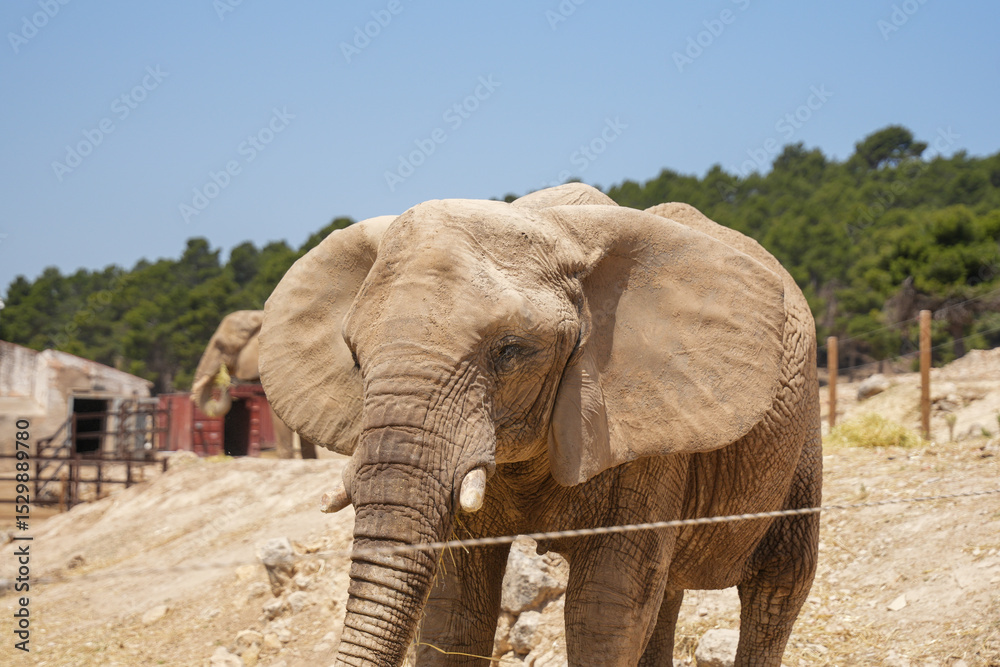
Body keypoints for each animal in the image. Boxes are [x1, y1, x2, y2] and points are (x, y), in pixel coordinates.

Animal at [258, 184, 821, 666]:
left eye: (509, 352)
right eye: (355, 358)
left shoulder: (644, 424)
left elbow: (605, 608)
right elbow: (456, 607)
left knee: (778, 585)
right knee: (668, 593)